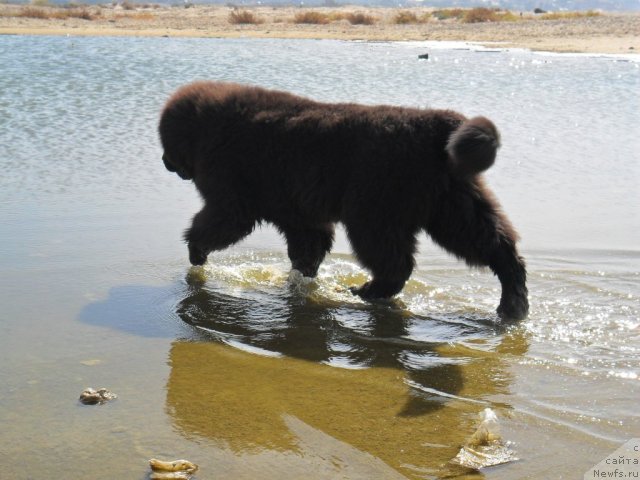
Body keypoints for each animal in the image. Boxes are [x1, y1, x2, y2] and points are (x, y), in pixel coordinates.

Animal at [160, 81, 528, 322]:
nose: (165, 161)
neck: (207, 127)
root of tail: (439, 125)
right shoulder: (299, 213)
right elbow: (308, 246)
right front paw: (300, 281)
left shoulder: (229, 193)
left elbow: (218, 223)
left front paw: (196, 253)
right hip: (453, 205)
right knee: (496, 245)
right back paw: (514, 303)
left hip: (374, 211)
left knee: (395, 263)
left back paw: (366, 291)